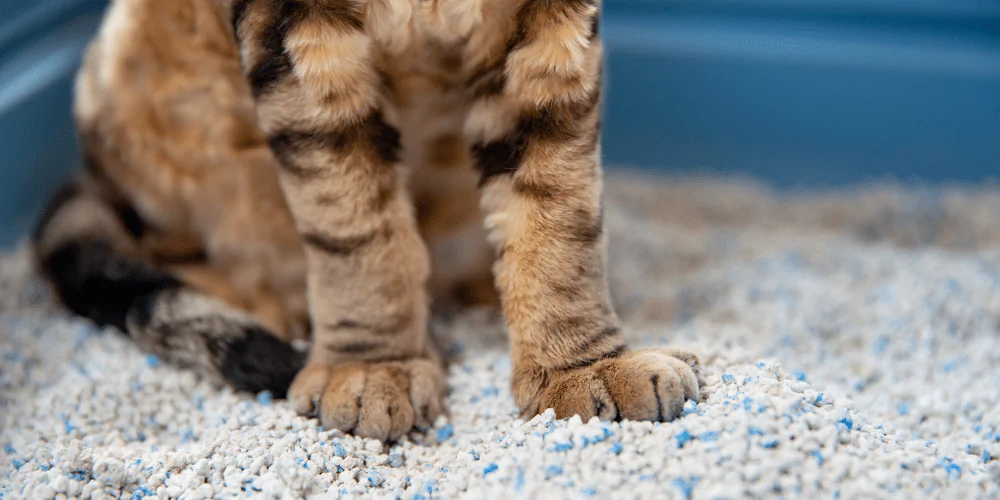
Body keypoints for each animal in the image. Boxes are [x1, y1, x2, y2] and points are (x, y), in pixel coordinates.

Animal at [33, 0, 704, 440]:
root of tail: (86, 173)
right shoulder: (297, 38)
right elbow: (355, 224)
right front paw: (370, 368)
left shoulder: (548, 34)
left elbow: (560, 216)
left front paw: (583, 368)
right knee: (201, 257)